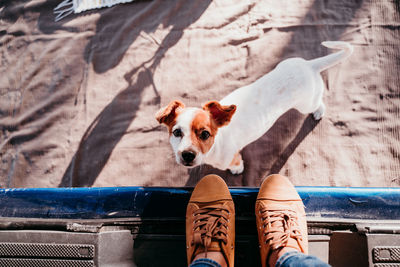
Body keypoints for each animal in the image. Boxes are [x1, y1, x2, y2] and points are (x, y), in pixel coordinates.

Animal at [156, 41, 354, 175]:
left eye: (205, 134)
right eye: (176, 133)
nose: (187, 155)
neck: (215, 146)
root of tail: (309, 65)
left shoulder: (233, 157)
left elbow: (236, 165)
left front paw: (236, 171)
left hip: (306, 104)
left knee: (318, 102)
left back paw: (319, 112)